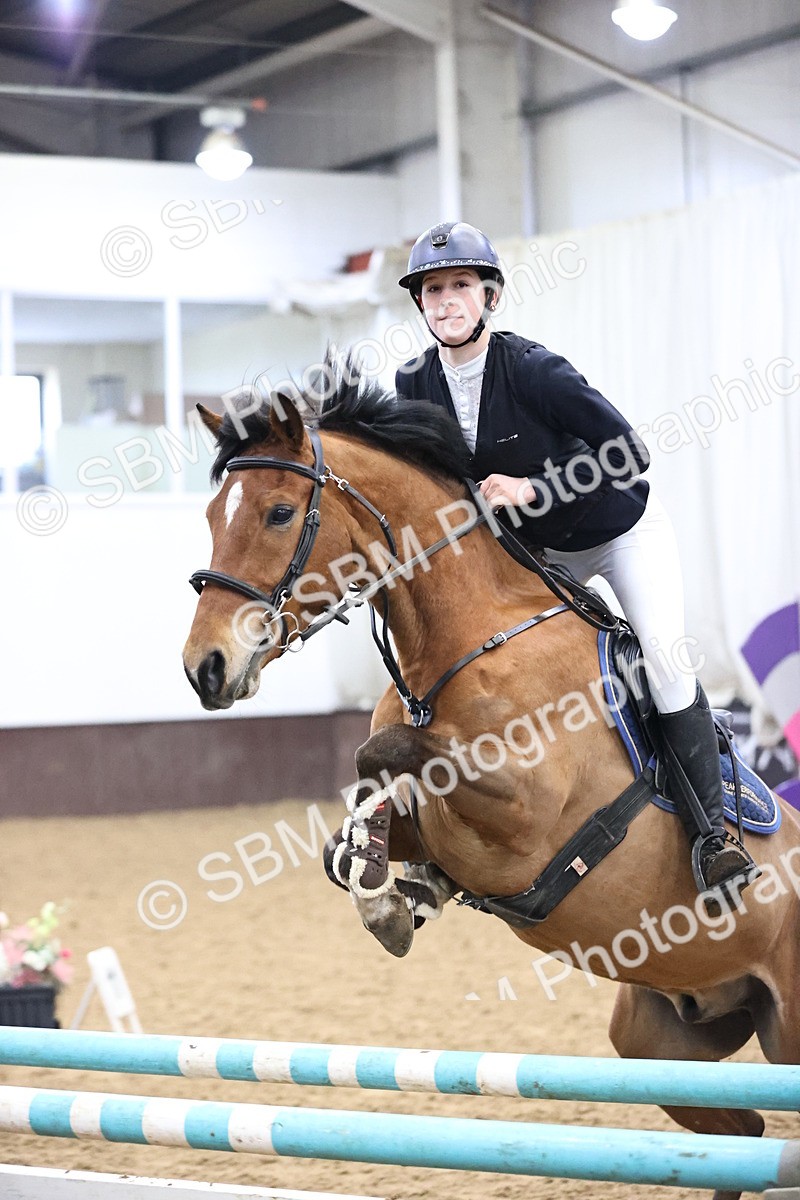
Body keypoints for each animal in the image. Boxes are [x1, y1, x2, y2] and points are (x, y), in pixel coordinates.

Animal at [182, 361, 800, 1199]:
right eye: (214, 514)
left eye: (279, 513)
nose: (205, 668)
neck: (466, 636)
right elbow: (376, 779)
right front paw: (385, 884)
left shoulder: (524, 816)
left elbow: (383, 752)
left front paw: (387, 895)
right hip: (663, 1039)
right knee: (747, 1136)